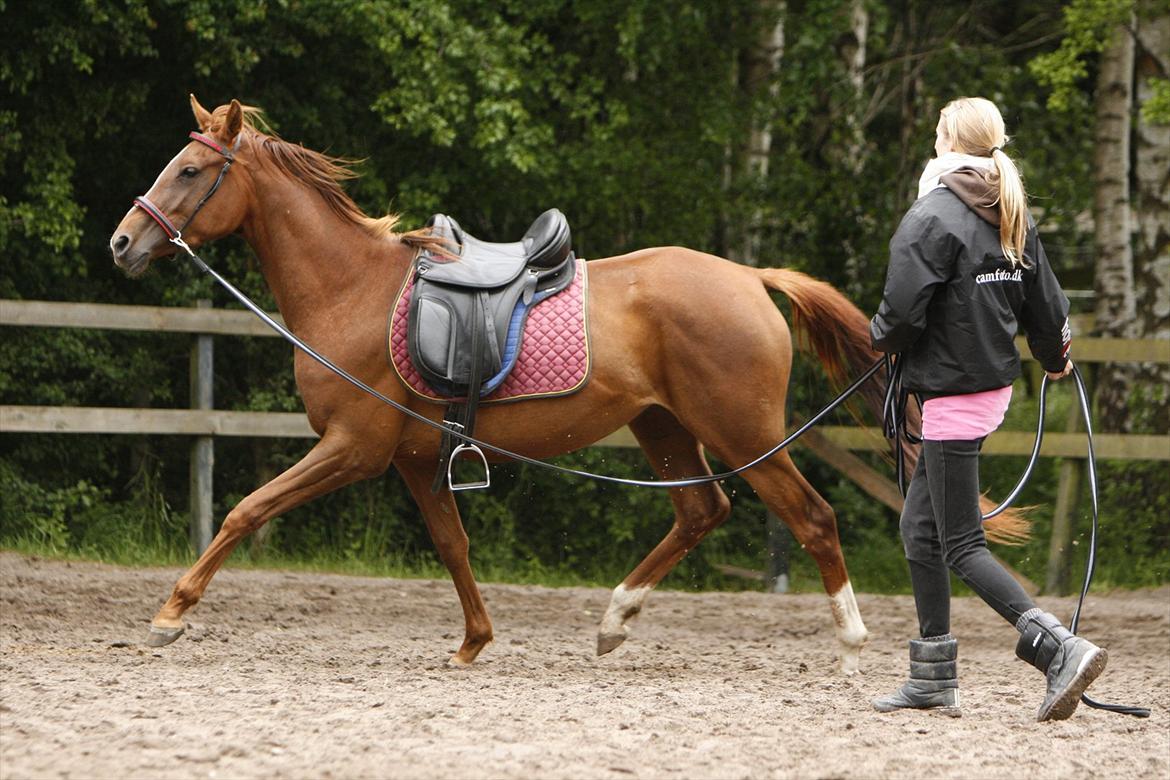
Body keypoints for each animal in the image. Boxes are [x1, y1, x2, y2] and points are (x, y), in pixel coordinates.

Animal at [109, 95, 1024, 673]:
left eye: (188, 171)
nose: (122, 242)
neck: (353, 293)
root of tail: (749, 277)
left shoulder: (353, 450)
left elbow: (244, 510)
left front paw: (169, 616)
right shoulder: (416, 462)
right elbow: (453, 546)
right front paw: (474, 641)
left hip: (746, 434)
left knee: (811, 517)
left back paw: (850, 642)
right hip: (665, 428)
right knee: (703, 512)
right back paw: (615, 621)